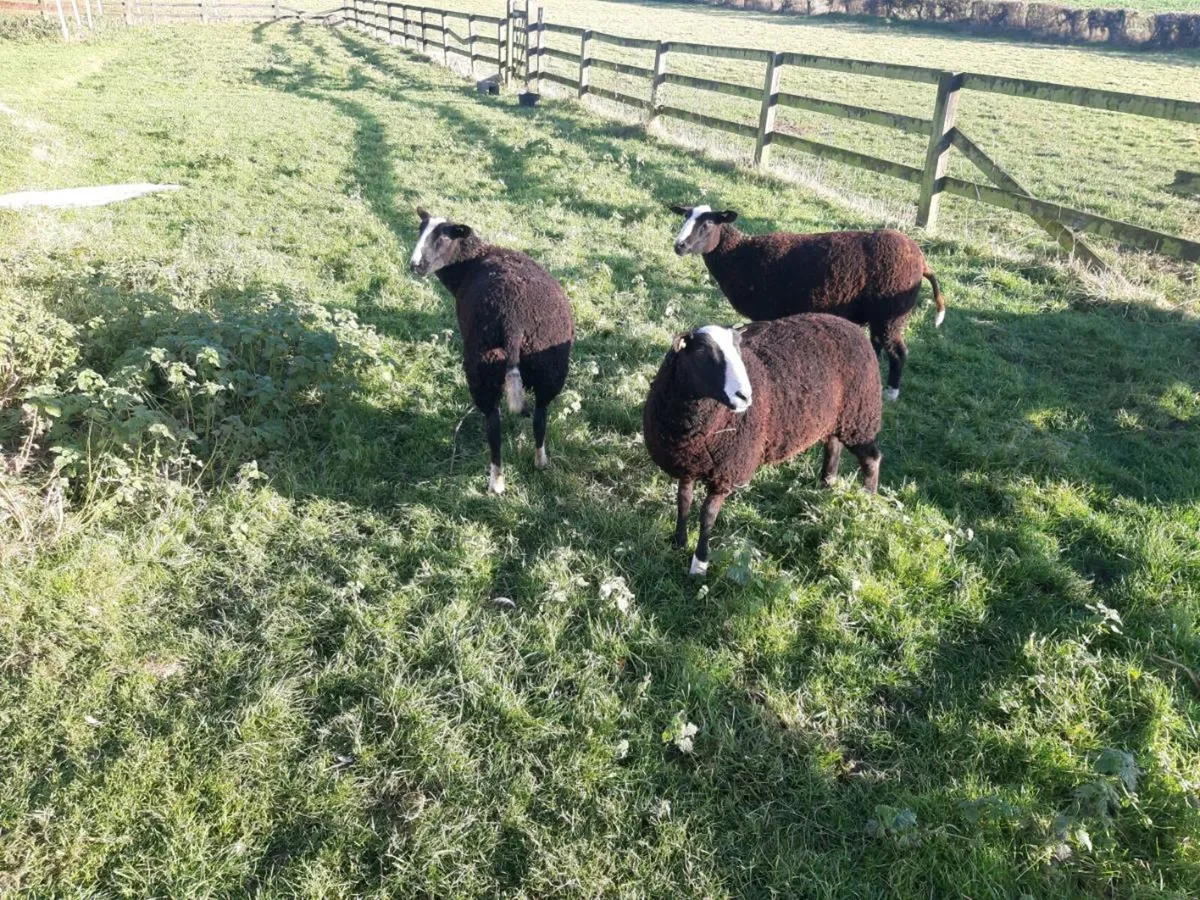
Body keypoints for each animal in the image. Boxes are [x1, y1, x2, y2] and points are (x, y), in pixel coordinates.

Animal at [410, 208, 574, 493]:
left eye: (442, 238)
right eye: (420, 230)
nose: (414, 265)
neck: (471, 262)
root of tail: (514, 321)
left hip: (482, 366)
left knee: (493, 427)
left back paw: (496, 482)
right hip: (550, 368)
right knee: (540, 417)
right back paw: (540, 461)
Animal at [642, 313, 882, 575]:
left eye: (739, 347)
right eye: (702, 351)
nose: (745, 396)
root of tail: (850, 325)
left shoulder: (726, 473)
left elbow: (707, 516)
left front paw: (699, 564)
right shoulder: (687, 464)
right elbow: (683, 502)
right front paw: (679, 543)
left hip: (858, 416)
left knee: (871, 458)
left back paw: (867, 503)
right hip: (833, 419)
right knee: (833, 446)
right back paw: (826, 486)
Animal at [670, 205, 945, 401]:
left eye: (707, 223)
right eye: (685, 218)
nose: (679, 246)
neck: (738, 256)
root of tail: (921, 260)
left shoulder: (768, 312)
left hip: (892, 314)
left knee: (898, 352)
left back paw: (891, 392)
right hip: (881, 315)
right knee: (878, 343)